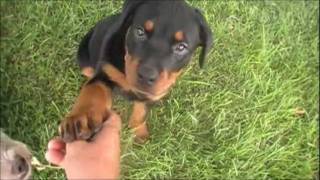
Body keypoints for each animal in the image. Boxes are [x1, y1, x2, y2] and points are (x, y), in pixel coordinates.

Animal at [58, 0, 214, 143]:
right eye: (140, 32)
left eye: (181, 47)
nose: (146, 76)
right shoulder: (105, 72)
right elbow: (94, 89)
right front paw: (81, 117)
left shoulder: (150, 94)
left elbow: (141, 112)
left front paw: (139, 133)